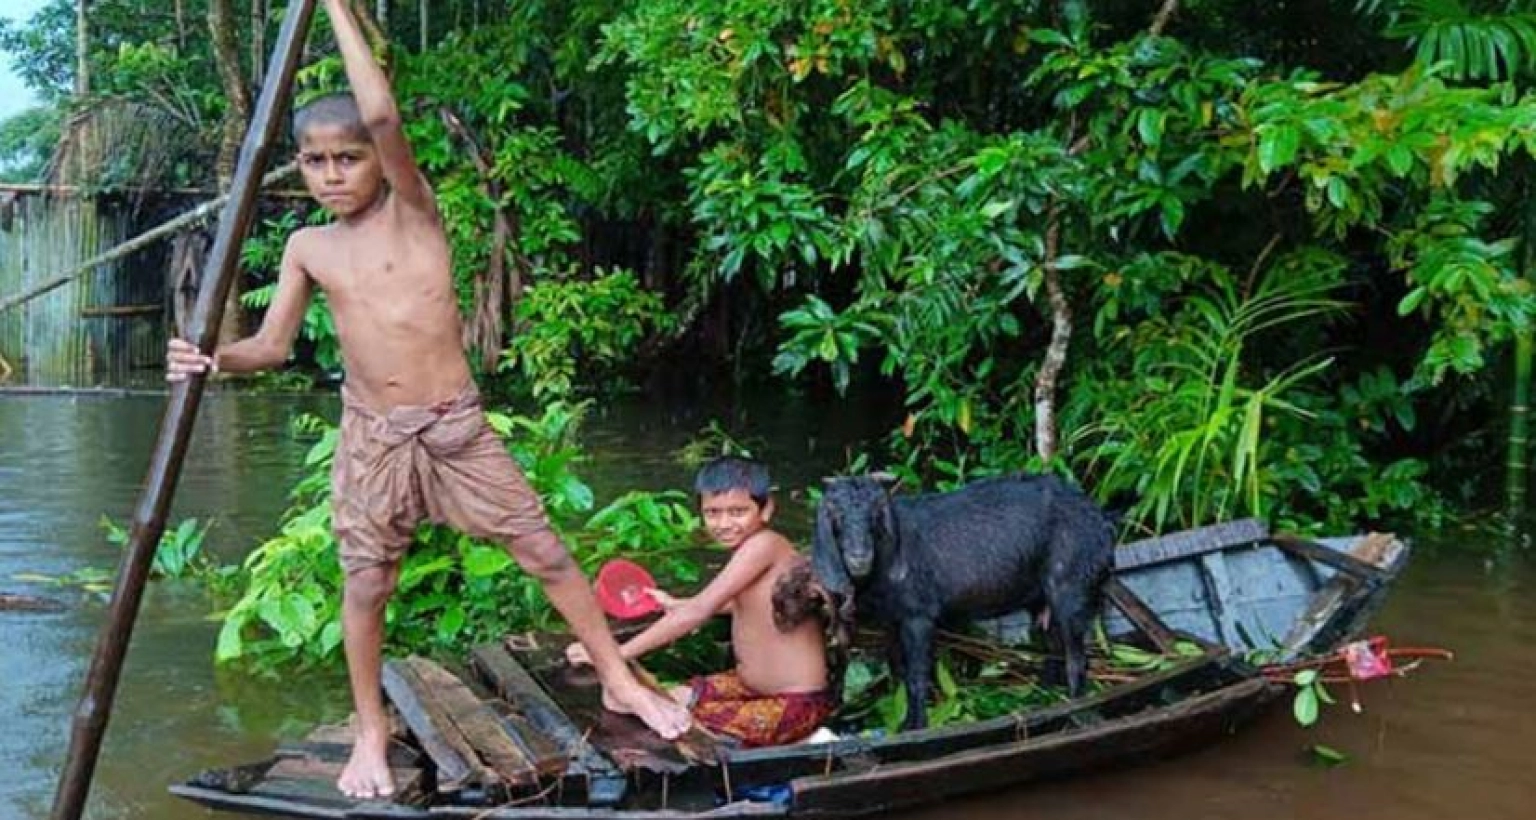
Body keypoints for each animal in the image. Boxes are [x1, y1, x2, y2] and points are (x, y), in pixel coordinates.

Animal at [817, 476, 1118, 734]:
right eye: (836, 516)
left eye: (876, 515)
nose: (859, 557)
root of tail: (1103, 522)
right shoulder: (891, 619)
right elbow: (898, 672)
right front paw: (903, 723)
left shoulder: (919, 614)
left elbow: (917, 675)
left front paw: (918, 728)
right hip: (1041, 597)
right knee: (1054, 647)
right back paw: (1044, 699)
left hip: (1071, 584)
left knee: (1076, 658)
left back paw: (1076, 709)